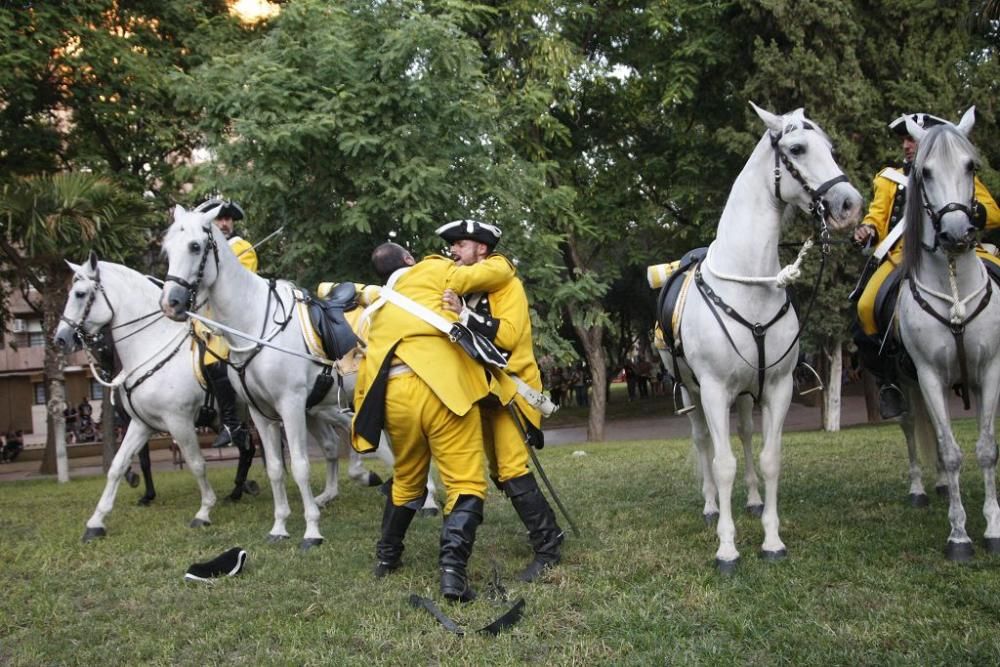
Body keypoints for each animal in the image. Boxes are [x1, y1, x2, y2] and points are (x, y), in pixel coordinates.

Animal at [159, 206, 434, 552]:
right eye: (167, 249)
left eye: (195, 246)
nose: (171, 303)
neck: (254, 323)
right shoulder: (260, 414)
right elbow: (277, 470)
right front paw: (279, 527)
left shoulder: (290, 405)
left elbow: (300, 467)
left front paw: (312, 530)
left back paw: (428, 501)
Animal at [664, 103, 860, 568]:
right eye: (797, 148)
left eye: (831, 148)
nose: (850, 204)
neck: (748, 285)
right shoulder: (713, 390)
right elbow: (722, 464)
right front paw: (727, 546)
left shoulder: (776, 386)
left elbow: (770, 459)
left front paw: (771, 538)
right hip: (693, 393)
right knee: (703, 442)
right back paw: (711, 505)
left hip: (744, 395)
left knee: (747, 438)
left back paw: (751, 500)